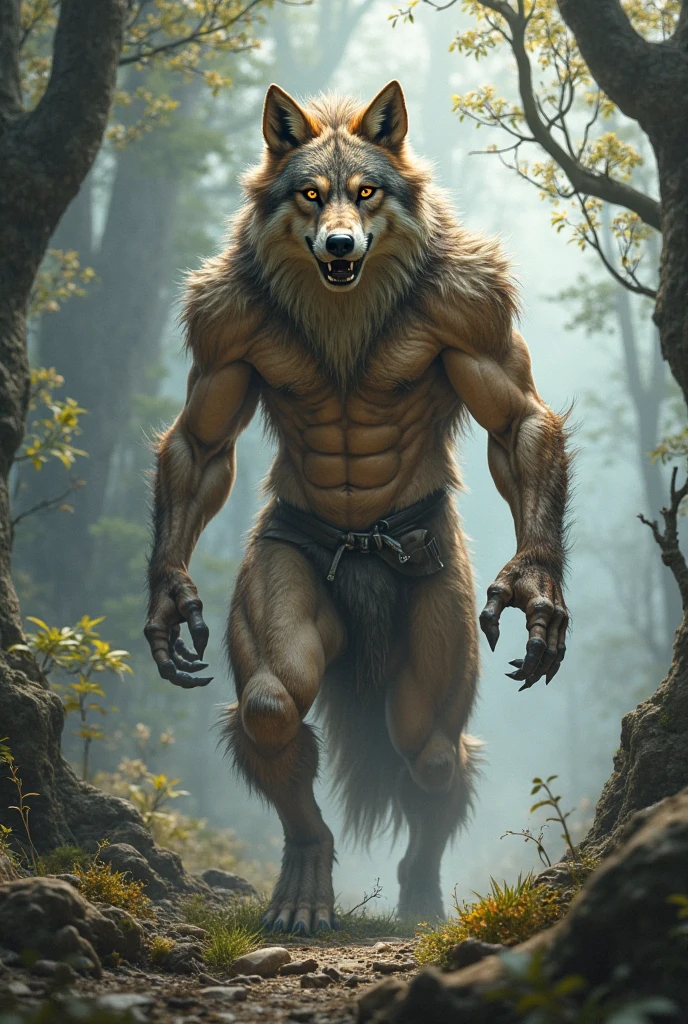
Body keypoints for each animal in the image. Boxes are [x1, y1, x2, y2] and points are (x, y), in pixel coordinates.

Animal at [144, 80, 570, 931]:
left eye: (367, 192)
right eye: (311, 194)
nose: (340, 245)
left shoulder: (472, 305)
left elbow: (516, 422)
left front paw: (536, 588)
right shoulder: (221, 323)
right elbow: (200, 446)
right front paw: (169, 597)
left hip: (436, 647)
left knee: (431, 754)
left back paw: (420, 896)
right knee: (274, 709)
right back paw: (305, 882)